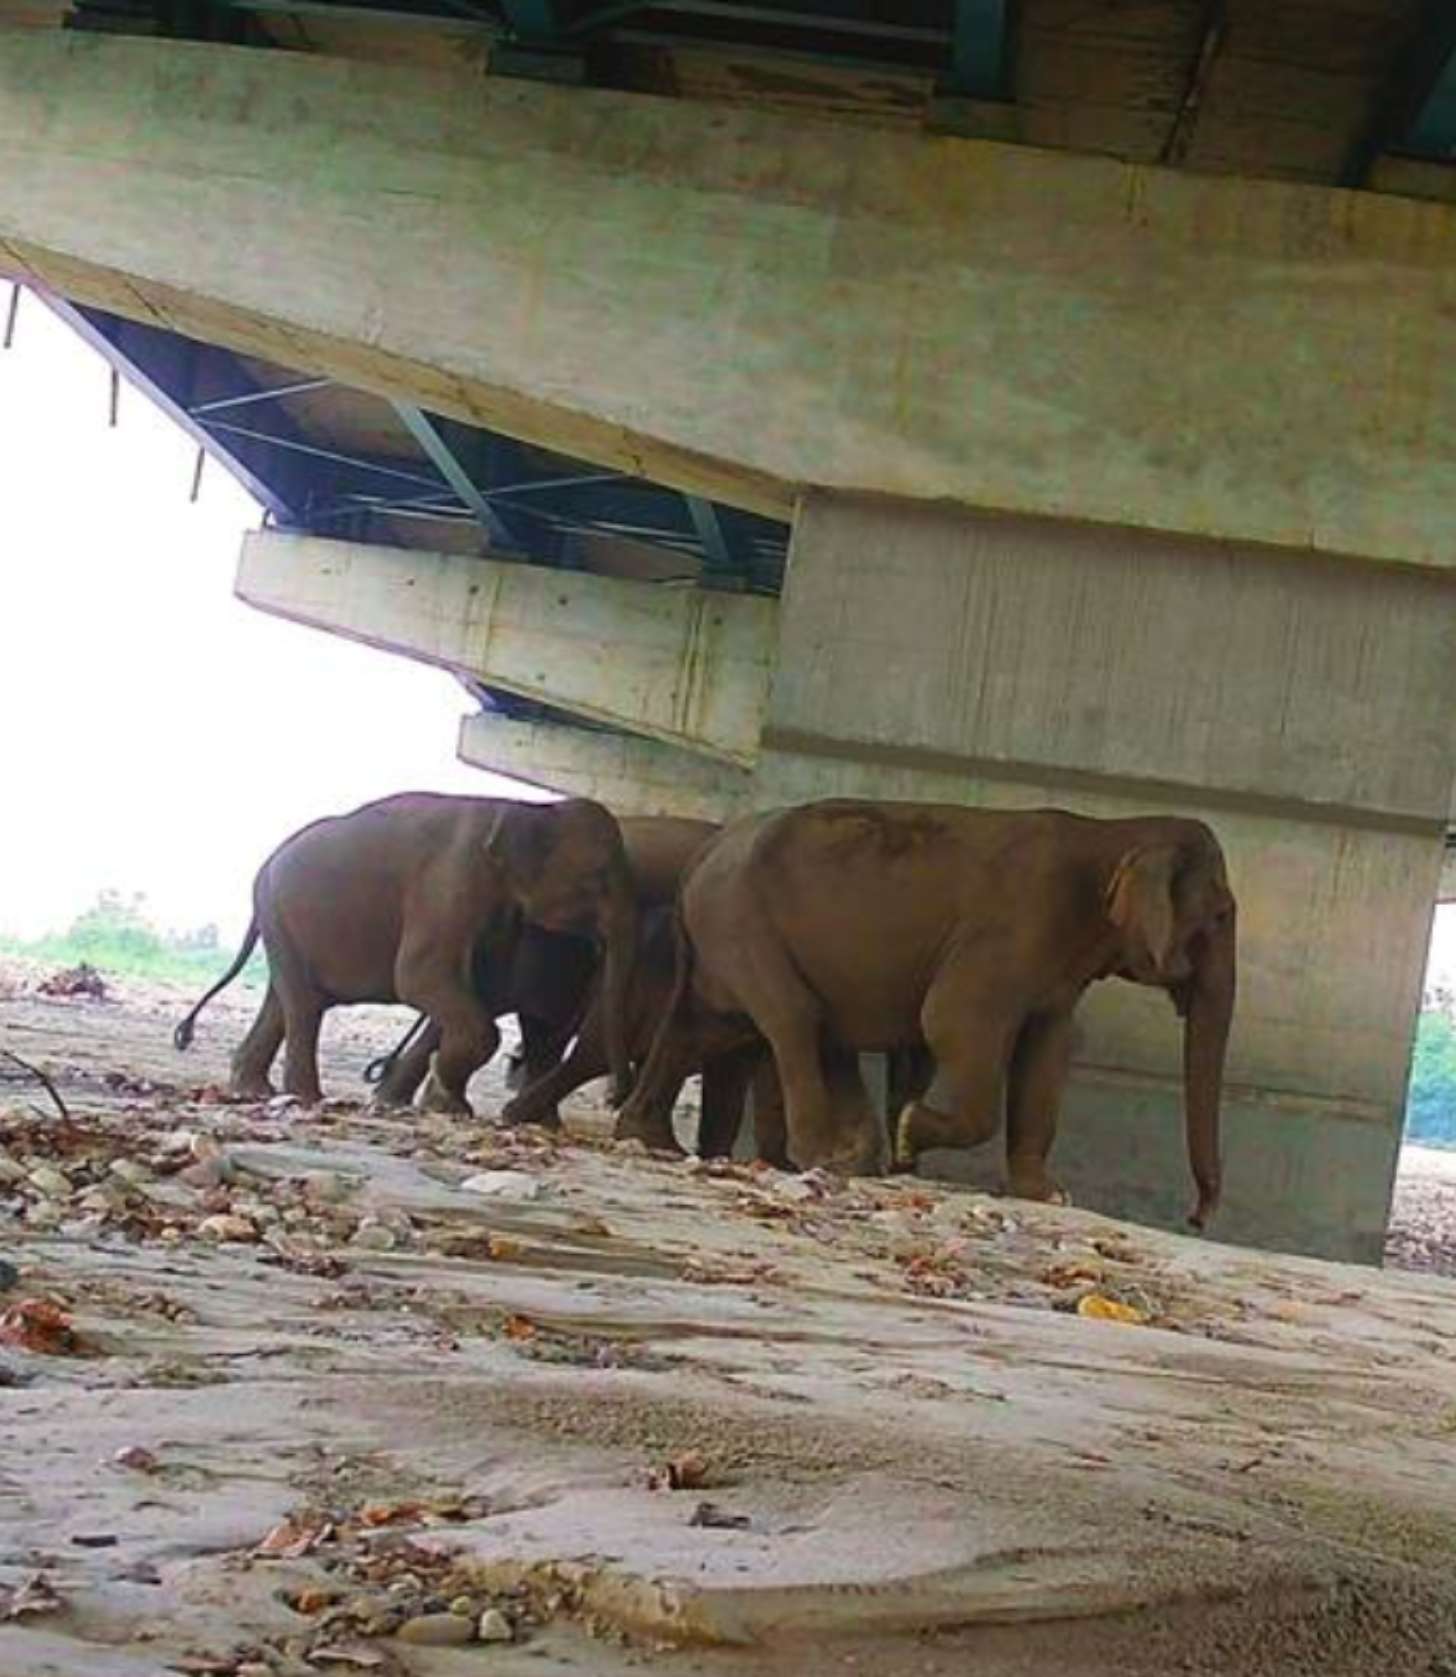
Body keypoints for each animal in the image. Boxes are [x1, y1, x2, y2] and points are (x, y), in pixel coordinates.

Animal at [172, 793, 640, 1114]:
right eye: (599, 878)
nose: (617, 1097)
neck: (530, 808)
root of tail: (266, 864)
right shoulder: (454, 880)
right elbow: (421, 978)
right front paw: (447, 1101)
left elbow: (476, 990)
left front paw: (430, 1103)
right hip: (277, 909)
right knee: (304, 1005)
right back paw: (304, 1096)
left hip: (282, 920)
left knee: (286, 999)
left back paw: (255, 1089)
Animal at [614, 800, 1236, 1228]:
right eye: (1222, 917)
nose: (1196, 1218)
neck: (1115, 832)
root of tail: (704, 855)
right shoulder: (1010, 933)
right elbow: (953, 1021)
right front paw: (911, 1134)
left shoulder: (1057, 970)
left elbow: (1046, 1052)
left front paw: (1048, 1195)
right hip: (742, 923)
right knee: (792, 1018)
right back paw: (823, 1158)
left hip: (723, 935)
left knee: (709, 1026)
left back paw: (652, 1141)